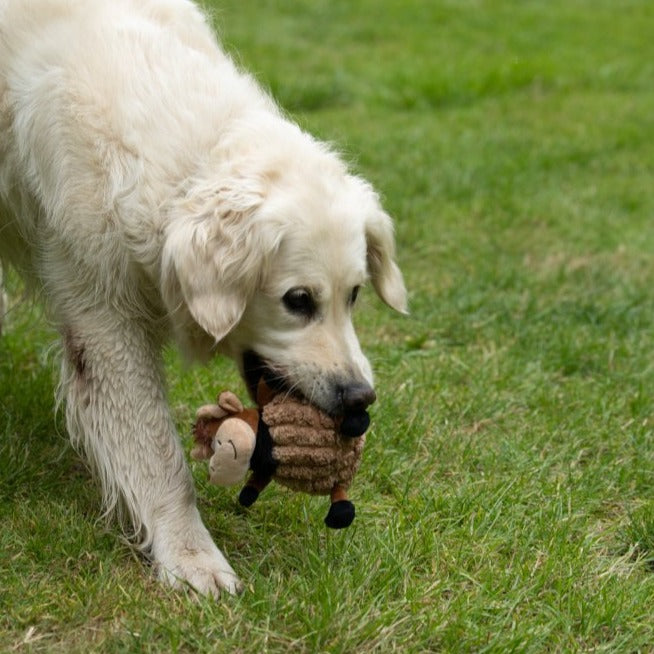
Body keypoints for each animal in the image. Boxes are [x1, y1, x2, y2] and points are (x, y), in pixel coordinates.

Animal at [0, 0, 408, 596]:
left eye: (354, 295)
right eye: (298, 300)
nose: (360, 398)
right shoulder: (104, 321)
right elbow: (156, 453)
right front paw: (190, 556)